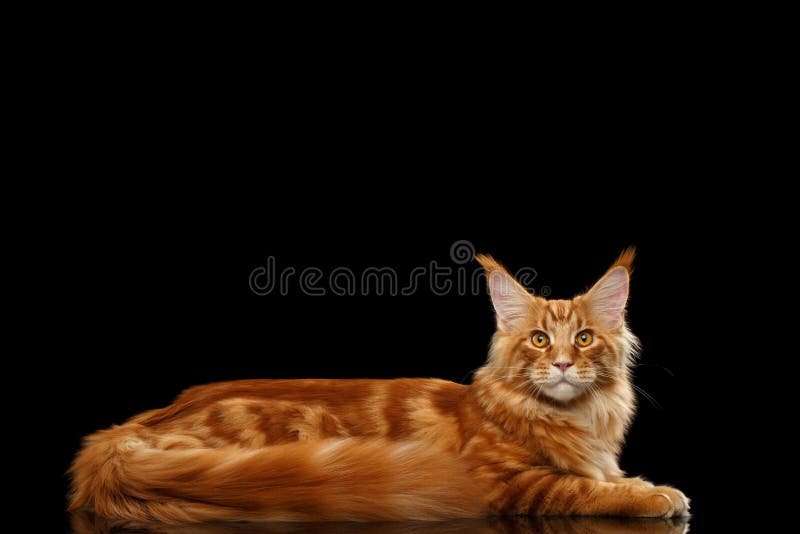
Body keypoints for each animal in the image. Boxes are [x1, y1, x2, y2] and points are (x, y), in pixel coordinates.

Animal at [69, 250, 688, 524]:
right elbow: (585, 489)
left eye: (583, 338)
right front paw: (654, 496)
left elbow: (609, 475)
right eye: (538, 340)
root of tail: (124, 431)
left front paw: (645, 482)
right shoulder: (505, 482)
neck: (576, 418)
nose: (561, 364)